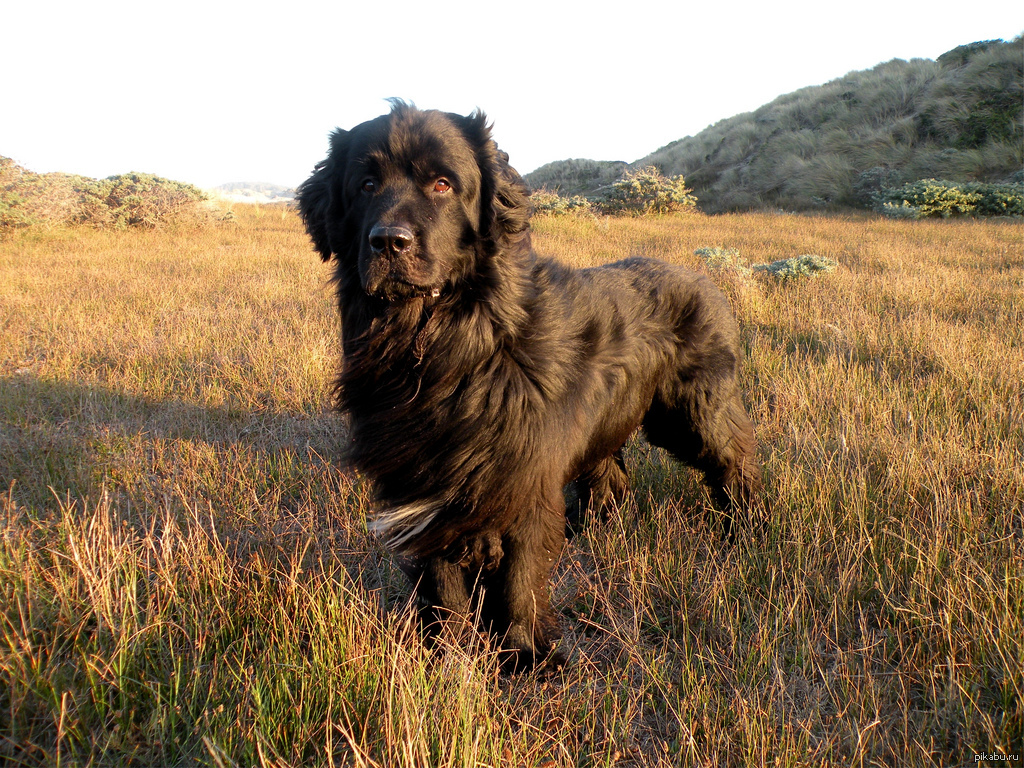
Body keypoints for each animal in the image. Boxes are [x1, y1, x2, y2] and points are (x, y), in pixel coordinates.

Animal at [296, 103, 761, 671]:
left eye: (443, 184)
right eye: (365, 184)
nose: (388, 241)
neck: (450, 344)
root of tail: (705, 278)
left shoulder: (524, 472)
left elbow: (519, 576)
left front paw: (526, 655)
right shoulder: (424, 482)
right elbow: (441, 580)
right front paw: (446, 651)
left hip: (694, 413)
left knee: (734, 460)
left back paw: (746, 529)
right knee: (609, 473)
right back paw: (592, 530)